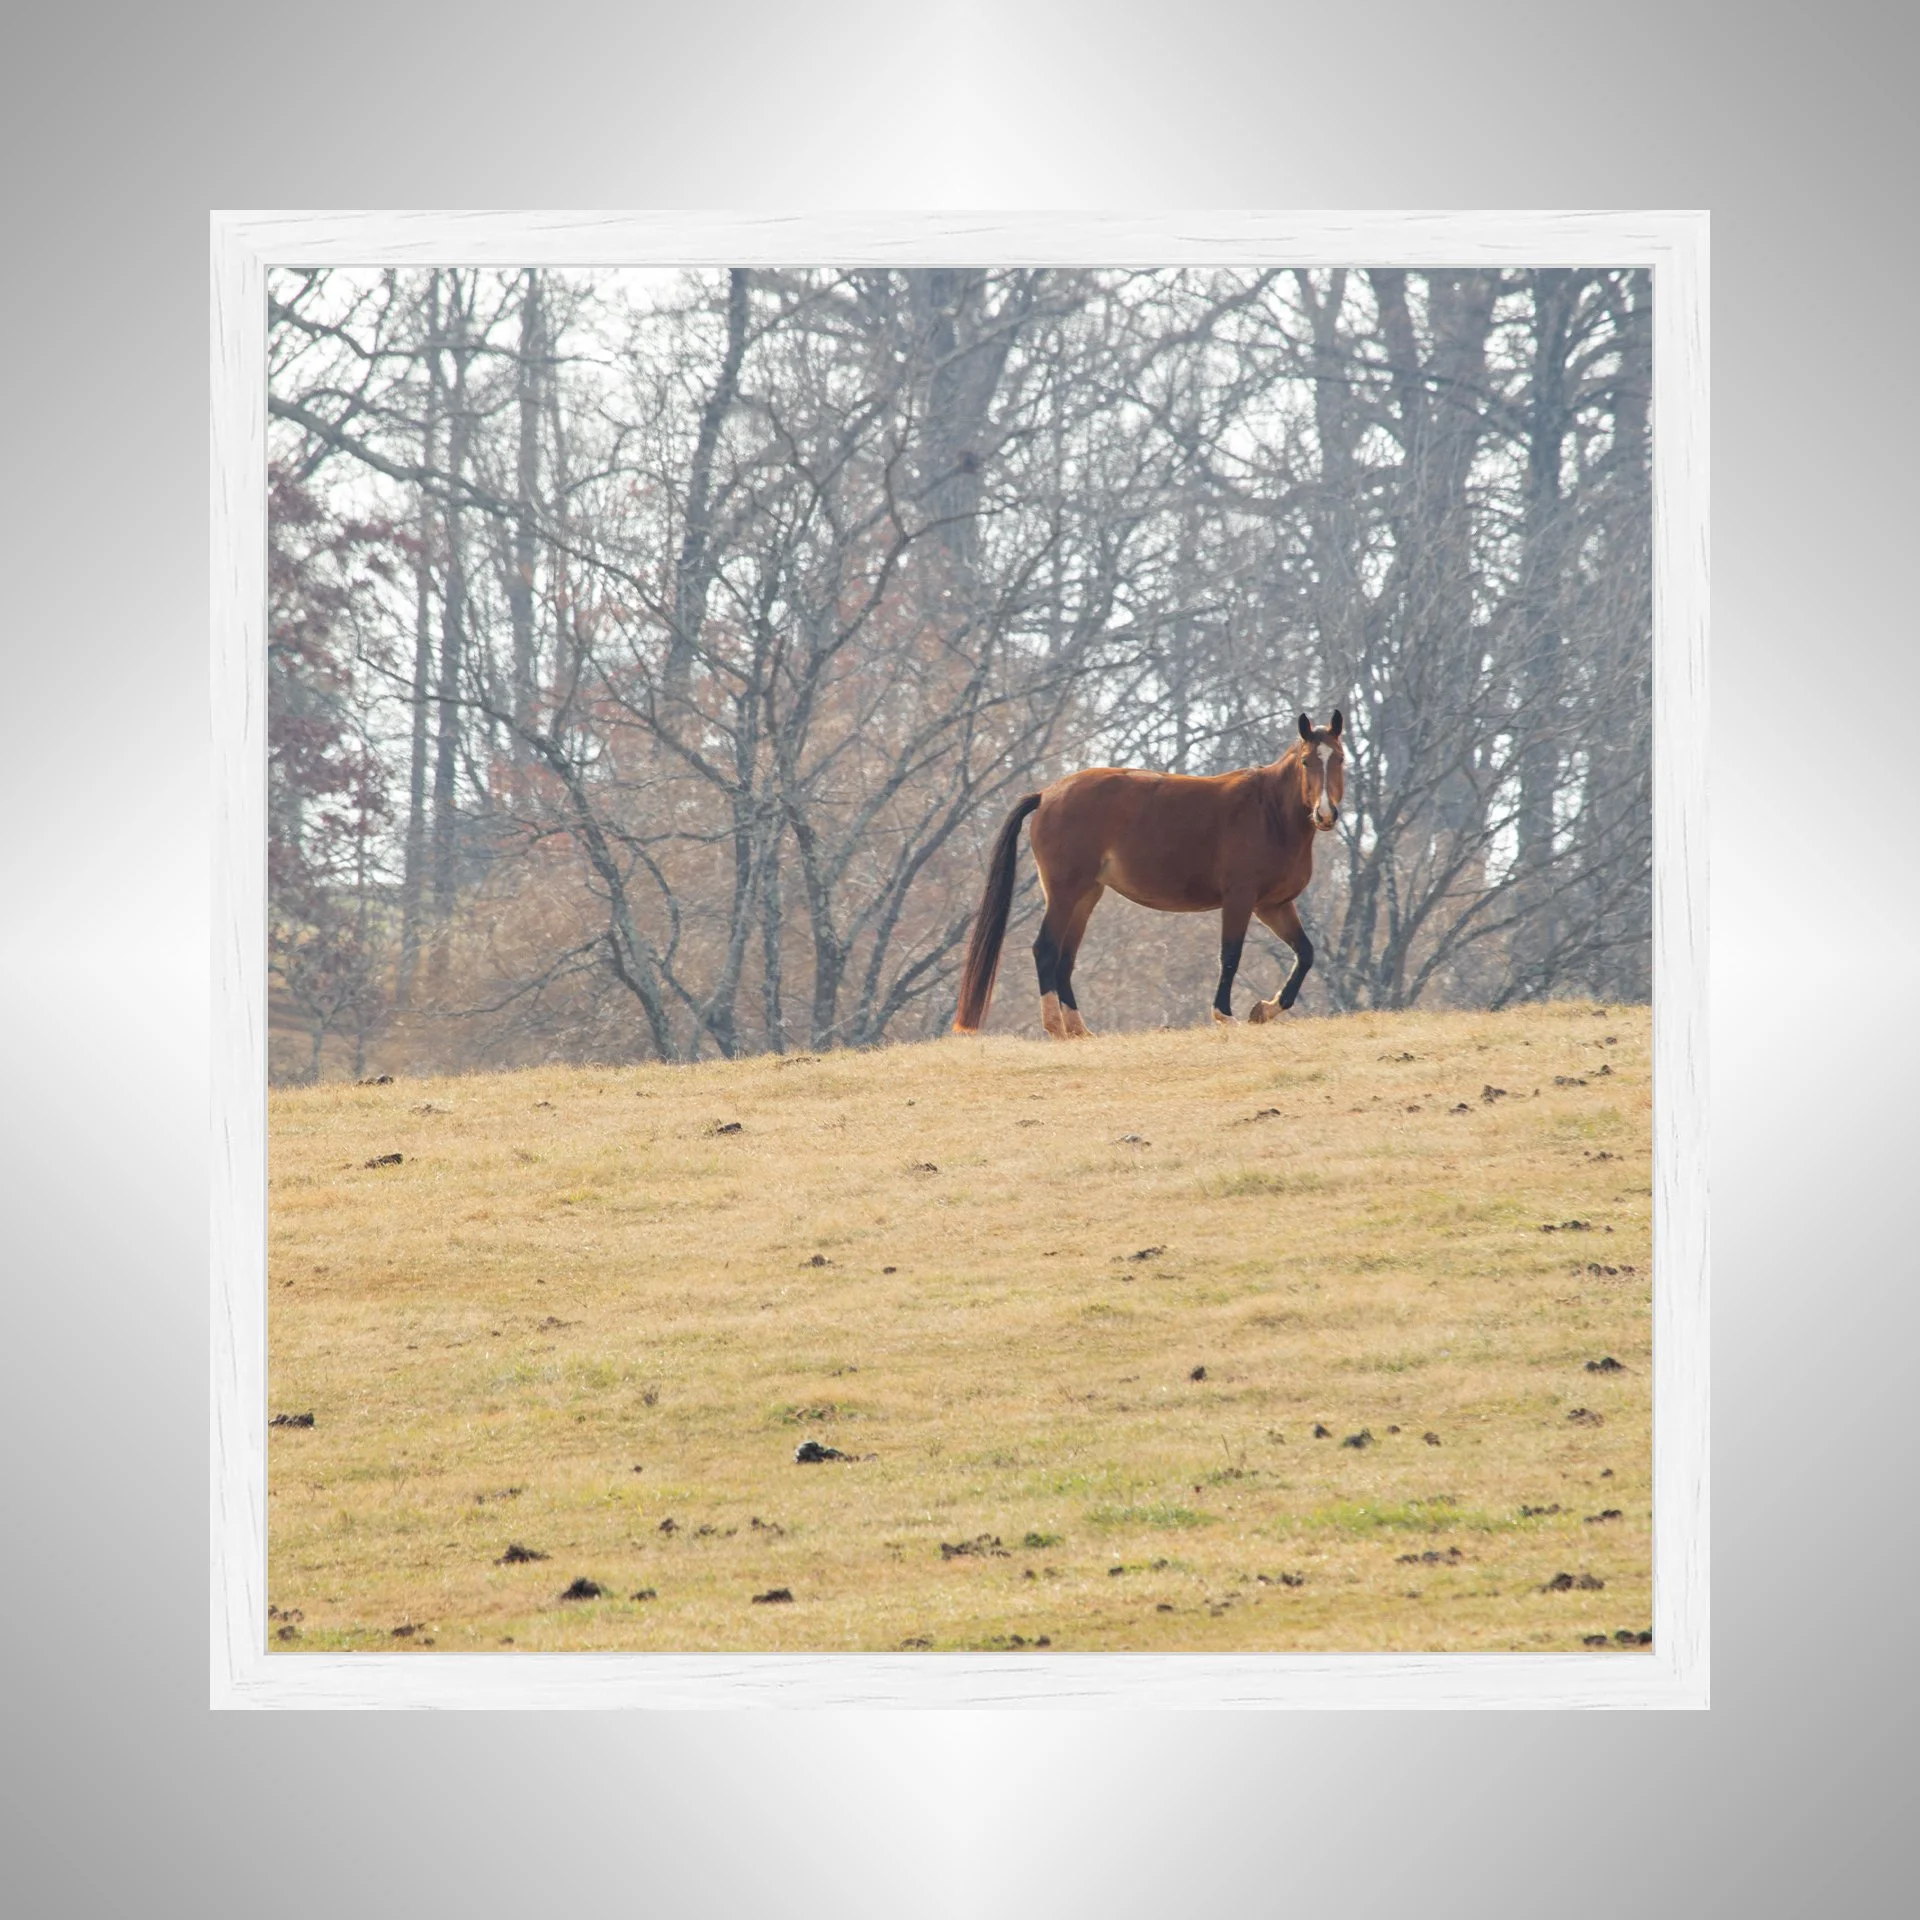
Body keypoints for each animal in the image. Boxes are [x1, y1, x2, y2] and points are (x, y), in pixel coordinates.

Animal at [952, 711, 1345, 1038]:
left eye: (1339, 759)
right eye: (1307, 761)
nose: (1326, 814)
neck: (1269, 812)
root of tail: (1047, 794)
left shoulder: (1273, 905)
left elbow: (1305, 953)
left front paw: (1264, 1009)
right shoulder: (1240, 899)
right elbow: (1230, 955)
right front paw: (1225, 1015)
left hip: (1086, 896)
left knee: (1065, 957)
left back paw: (1079, 1029)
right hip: (1065, 893)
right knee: (1045, 950)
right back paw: (1056, 1029)